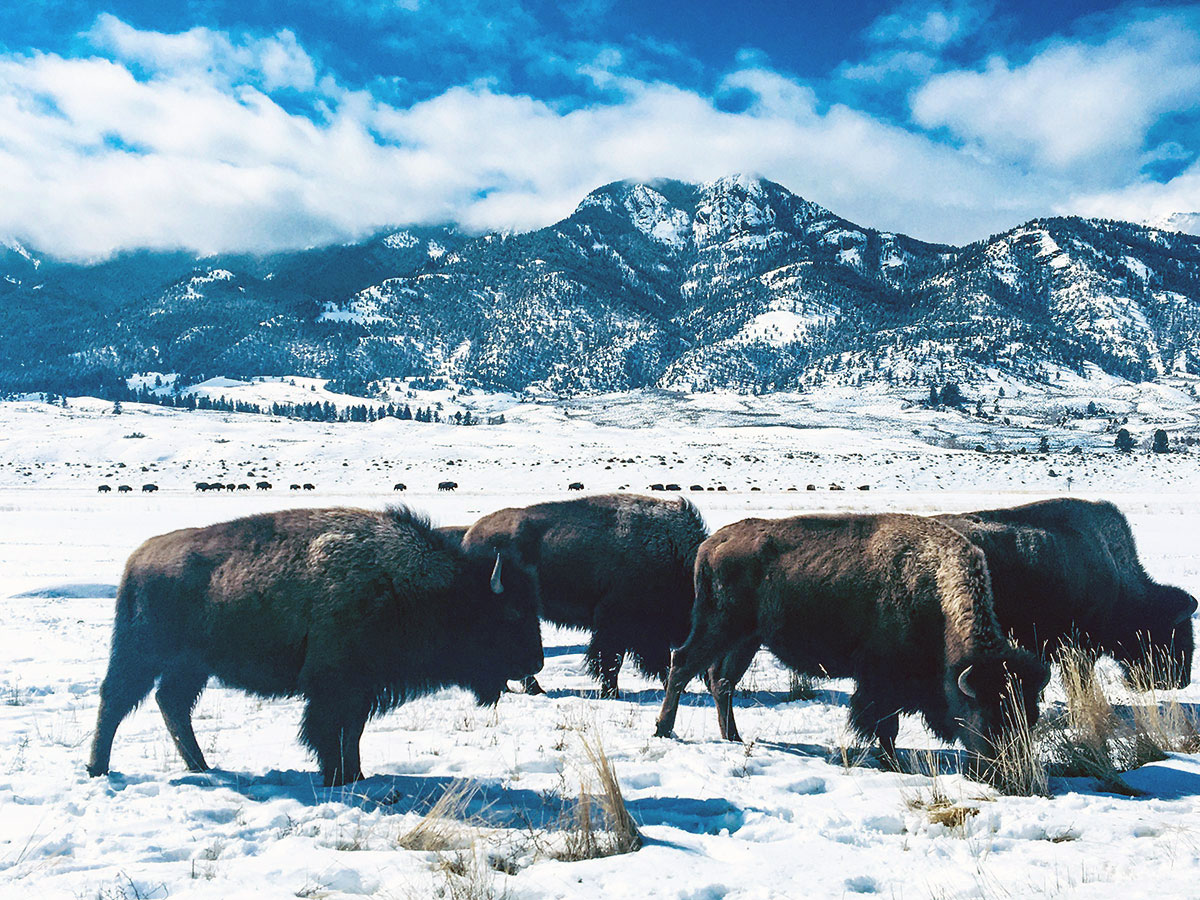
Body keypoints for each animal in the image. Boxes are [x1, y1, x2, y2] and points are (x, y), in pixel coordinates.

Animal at [87, 507, 543, 787]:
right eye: (511, 614)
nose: (535, 663)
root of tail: (139, 557)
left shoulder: (361, 690)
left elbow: (351, 733)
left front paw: (355, 776)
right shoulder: (336, 687)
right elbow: (331, 732)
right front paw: (339, 777)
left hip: (191, 666)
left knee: (172, 704)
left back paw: (201, 766)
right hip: (141, 656)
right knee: (116, 702)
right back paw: (98, 769)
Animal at [654, 514, 1048, 765]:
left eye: (1030, 717)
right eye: (989, 713)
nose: (1008, 770)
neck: (934, 588)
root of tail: (710, 543)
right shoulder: (882, 681)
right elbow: (884, 725)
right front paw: (890, 760)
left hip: (746, 639)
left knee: (721, 681)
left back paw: (732, 737)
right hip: (719, 627)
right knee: (683, 664)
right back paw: (663, 730)